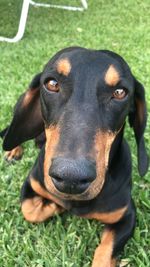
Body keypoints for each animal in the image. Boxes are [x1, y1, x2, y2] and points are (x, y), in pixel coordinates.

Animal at [0, 48, 149, 267]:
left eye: (120, 92)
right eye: (52, 83)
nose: (71, 178)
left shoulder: (127, 215)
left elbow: (105, 251)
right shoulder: (32, 183)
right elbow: (30, 210)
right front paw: (55, 204)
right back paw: (13, 150)